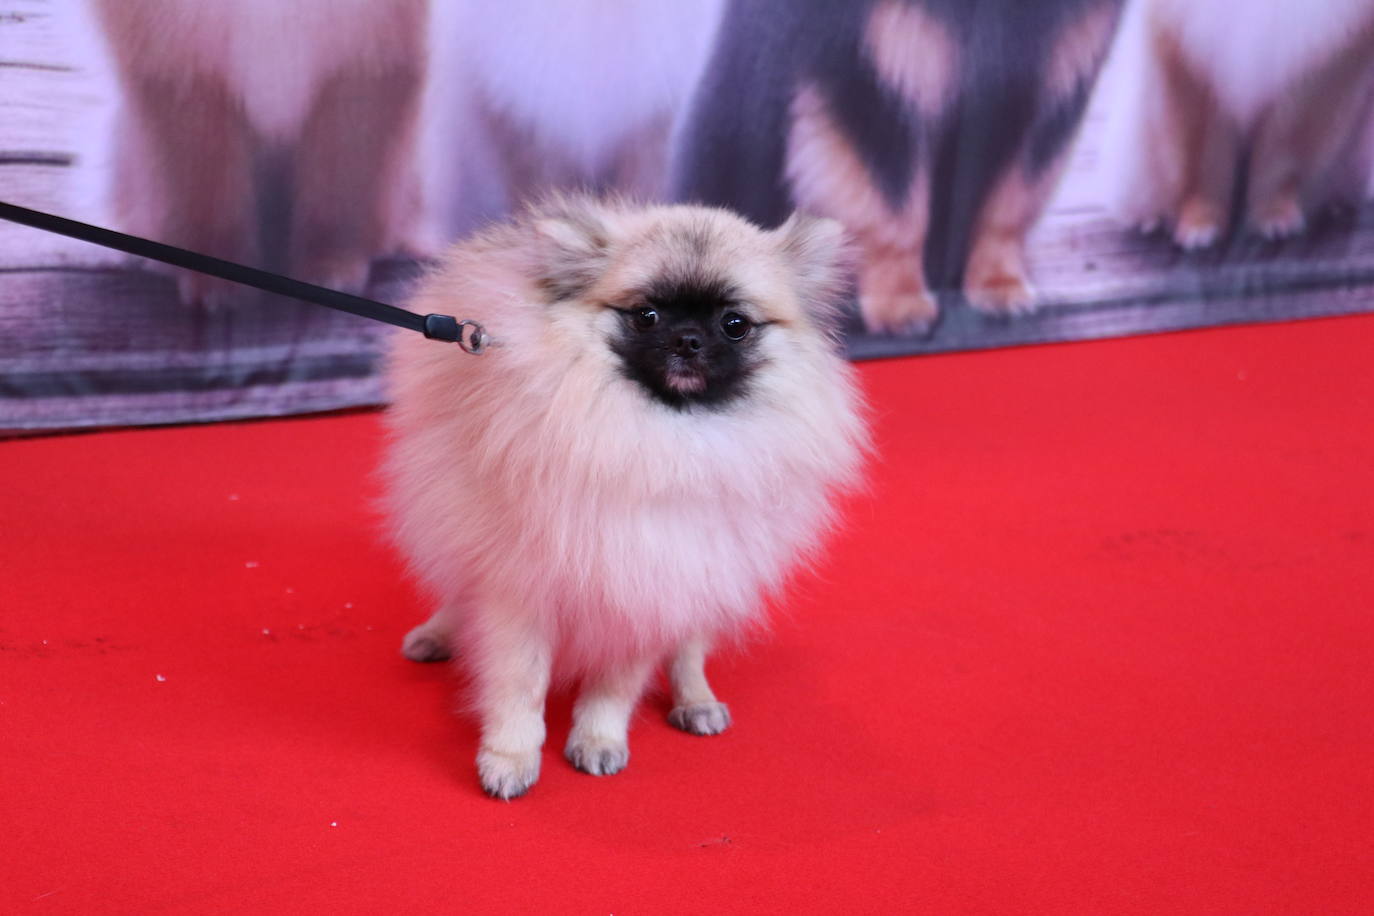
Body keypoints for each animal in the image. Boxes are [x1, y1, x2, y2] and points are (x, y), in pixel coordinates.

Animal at [88, 0, 425, 307]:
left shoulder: (363, 54)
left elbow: (342, 188)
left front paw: (331, 265)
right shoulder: (180, 63)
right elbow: (204, 191)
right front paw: (216, 277)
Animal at [381, 197, 862, 796]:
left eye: (734, 325)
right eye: (646, 316)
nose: (687, 339)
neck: (660, 433)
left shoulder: (649, 585)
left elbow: (616, 683)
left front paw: (597, 739)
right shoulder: (518, 584)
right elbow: (519, 681)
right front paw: (510, 756)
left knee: (689, 651)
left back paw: (696, 701)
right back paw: (438, 634)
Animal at [670, 0, 1121, 335]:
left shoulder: (1047, 83)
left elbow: (1010, 201)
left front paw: (999, 284)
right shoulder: (873, 71)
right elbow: (893, 209)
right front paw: (900, 303)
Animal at [1115, 0, 1374, 247]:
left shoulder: (1318, 68)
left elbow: (1285, 153)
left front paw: (1274, 214)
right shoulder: (1191, 58)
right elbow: (1201, 159)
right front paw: (1200, 222)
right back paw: (1148, 219)